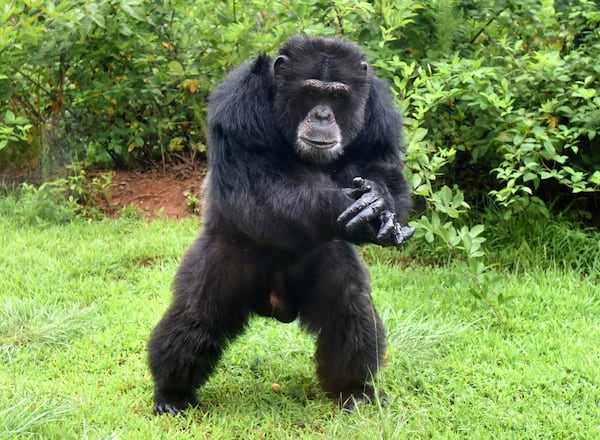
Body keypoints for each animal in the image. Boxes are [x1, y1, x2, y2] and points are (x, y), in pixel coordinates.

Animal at [148, 35, 414, 416]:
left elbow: (382, 167)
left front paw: (378, 200)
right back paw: (172, 393)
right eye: (310, 91)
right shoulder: (239, 104)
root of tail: (275, 306)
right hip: (224, 260)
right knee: (195, 318)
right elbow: (259, 187)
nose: (322, 114)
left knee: (349, 307)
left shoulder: (380, 111)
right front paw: (346, 204)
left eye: (337, 95)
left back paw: (355, 390)